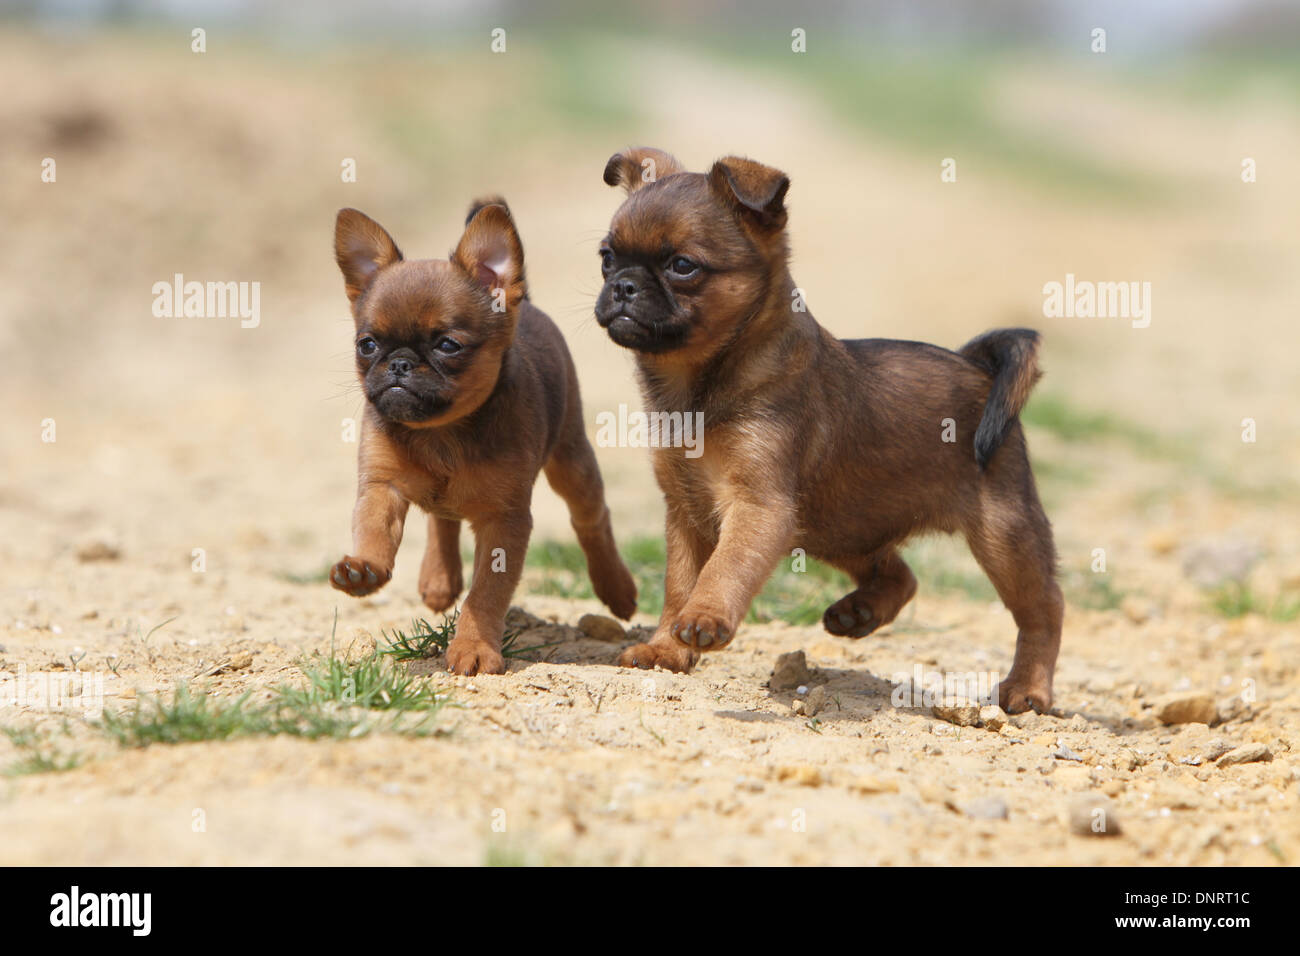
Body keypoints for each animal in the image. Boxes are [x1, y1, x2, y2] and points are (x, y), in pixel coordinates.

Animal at [330, 197, 634, 676]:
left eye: (448, 346)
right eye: (367, 345)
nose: (399, 363)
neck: (440, 433)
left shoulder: (504, 522)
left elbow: (486, 594)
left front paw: (474, 647)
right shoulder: (381, 486)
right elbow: (375, 530)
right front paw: (364, 568)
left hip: (572, 460)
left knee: (591, 518)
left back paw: (616, 588)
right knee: (442, 518)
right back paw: (438, 577)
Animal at [598, 149, 1066, 712]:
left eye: (682, 266)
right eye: (606, 258)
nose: (622, 285)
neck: (698, 389)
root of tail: (973, 363)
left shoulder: (759, 507)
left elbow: (723, 568)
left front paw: (704, 617)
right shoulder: (686, 511)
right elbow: (678, 583)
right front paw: (666, 649)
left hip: (1002, 533)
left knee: (1044, 609)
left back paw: (1029, 688)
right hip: (845, 523)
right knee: (901, 573)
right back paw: (858, 612)